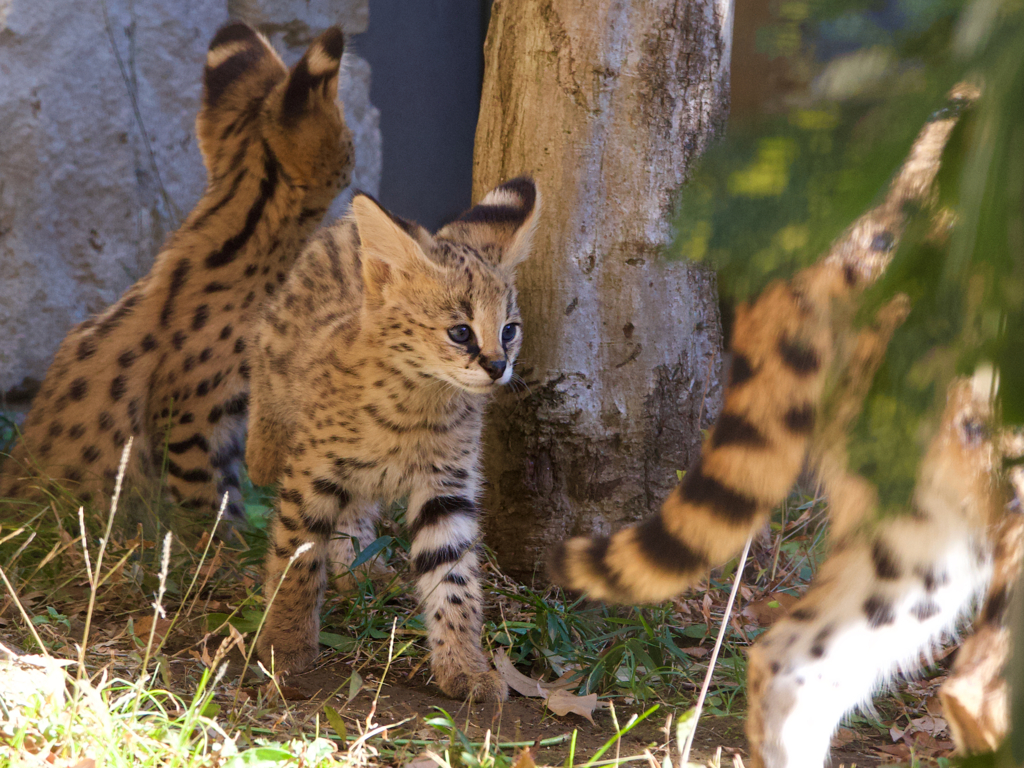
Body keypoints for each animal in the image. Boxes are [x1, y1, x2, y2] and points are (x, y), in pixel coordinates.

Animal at [246, 177, 540, 700]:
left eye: (509, 331)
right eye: (460, 332)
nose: (497, 366)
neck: (418, 402)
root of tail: (341, 228)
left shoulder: (446, 488)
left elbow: (453, 578)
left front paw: (463, 665)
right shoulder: (311, 470)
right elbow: (297, 555)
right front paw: (286, 640)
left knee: (356, 508)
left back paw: (362, 568)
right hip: (276, 357)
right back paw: (261, 449)